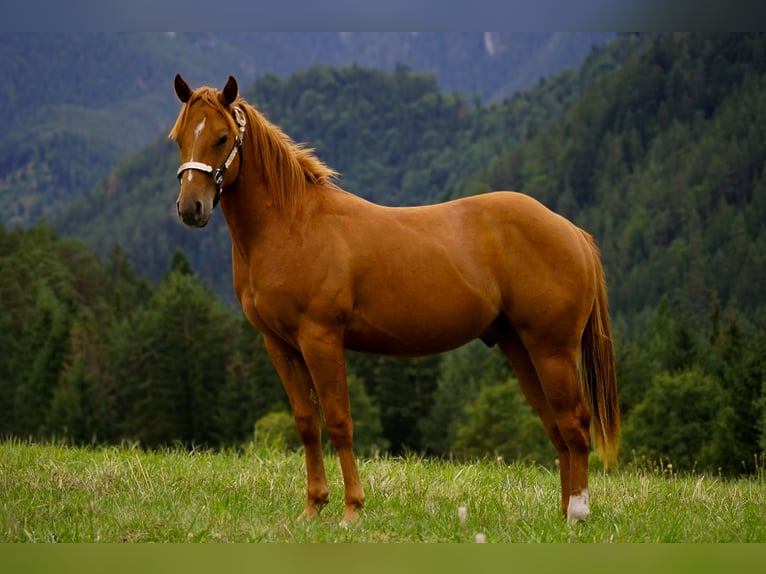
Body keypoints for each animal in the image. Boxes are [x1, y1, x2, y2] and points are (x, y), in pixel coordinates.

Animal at [169, 74, 620, 525]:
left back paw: (578, 513)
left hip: (552, 349)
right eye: (179, 138)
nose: (191, 208)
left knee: (575, 422)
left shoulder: (321, 338)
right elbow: (306, 423)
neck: (293, 224)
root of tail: (572, 231)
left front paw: (352, 509)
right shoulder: (279, 345)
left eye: (222, 137)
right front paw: (313, 507)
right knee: (556, 426)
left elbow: (339, 422)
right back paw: (563, 514)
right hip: (521, 348)